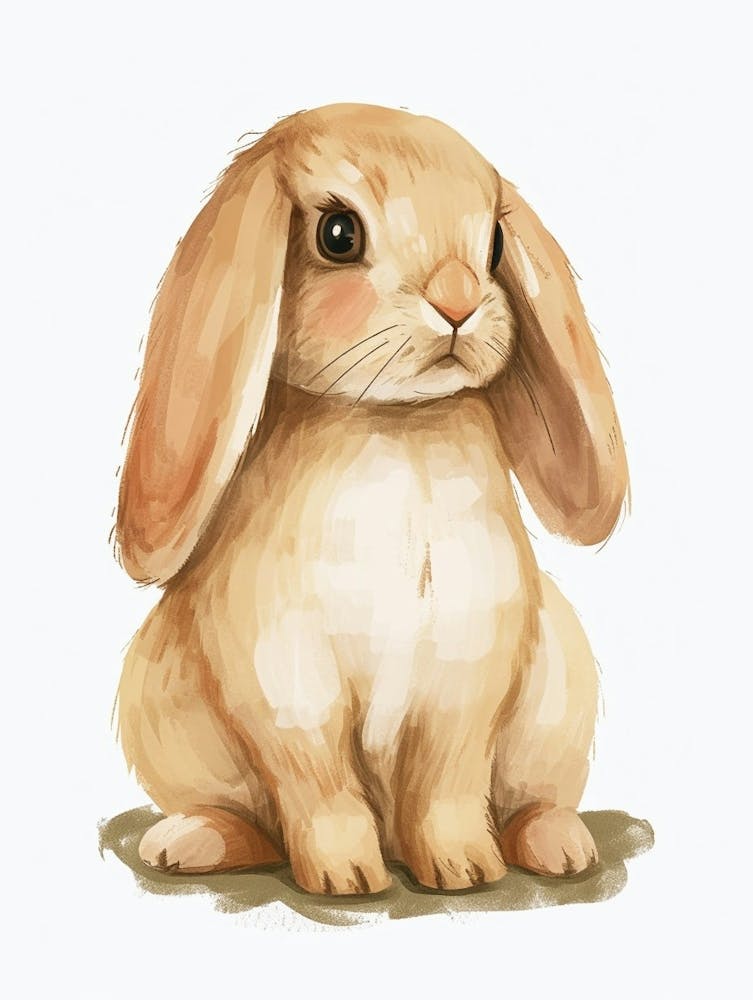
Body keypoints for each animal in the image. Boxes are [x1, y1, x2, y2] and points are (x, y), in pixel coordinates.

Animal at [115, 103, 628, 895]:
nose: (457, 301)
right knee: (251, 822)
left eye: (496, 242)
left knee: (530, 800)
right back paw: (187, 843)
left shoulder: (465, 665)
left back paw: (558, 846)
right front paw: (346, 876)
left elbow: (445, 781)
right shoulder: (284, 676)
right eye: (337, 234)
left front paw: (462, 869)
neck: (393, 425)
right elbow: (319, 782)